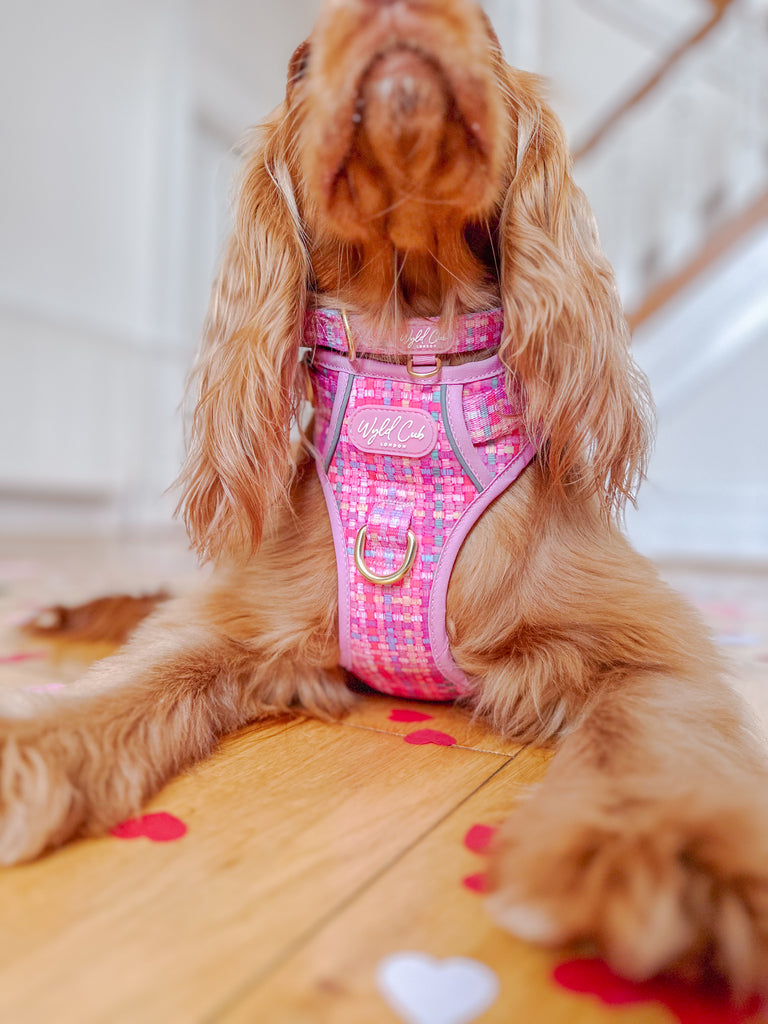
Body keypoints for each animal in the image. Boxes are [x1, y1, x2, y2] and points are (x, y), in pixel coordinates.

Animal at [5, 0, 768, 996]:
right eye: (299, 61)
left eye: (489, 32)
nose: (393, 8)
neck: (408, 357)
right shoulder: (237, 616)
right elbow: (144, 671)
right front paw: (34, 744)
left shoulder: (650, 641)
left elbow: (653, 734)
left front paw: (666, 847)